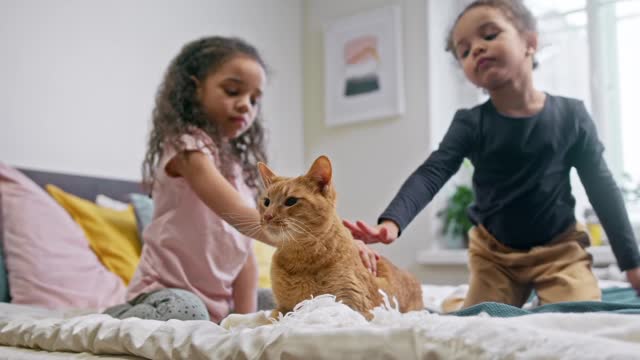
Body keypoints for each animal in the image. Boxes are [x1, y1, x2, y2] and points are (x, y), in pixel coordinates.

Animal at [258, 155, 422, 320]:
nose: (267, 216)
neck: (299, 259)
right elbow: (271, 319)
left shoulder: (352, 306)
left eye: (291, 201)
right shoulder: (282, 308)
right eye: (266, 202)